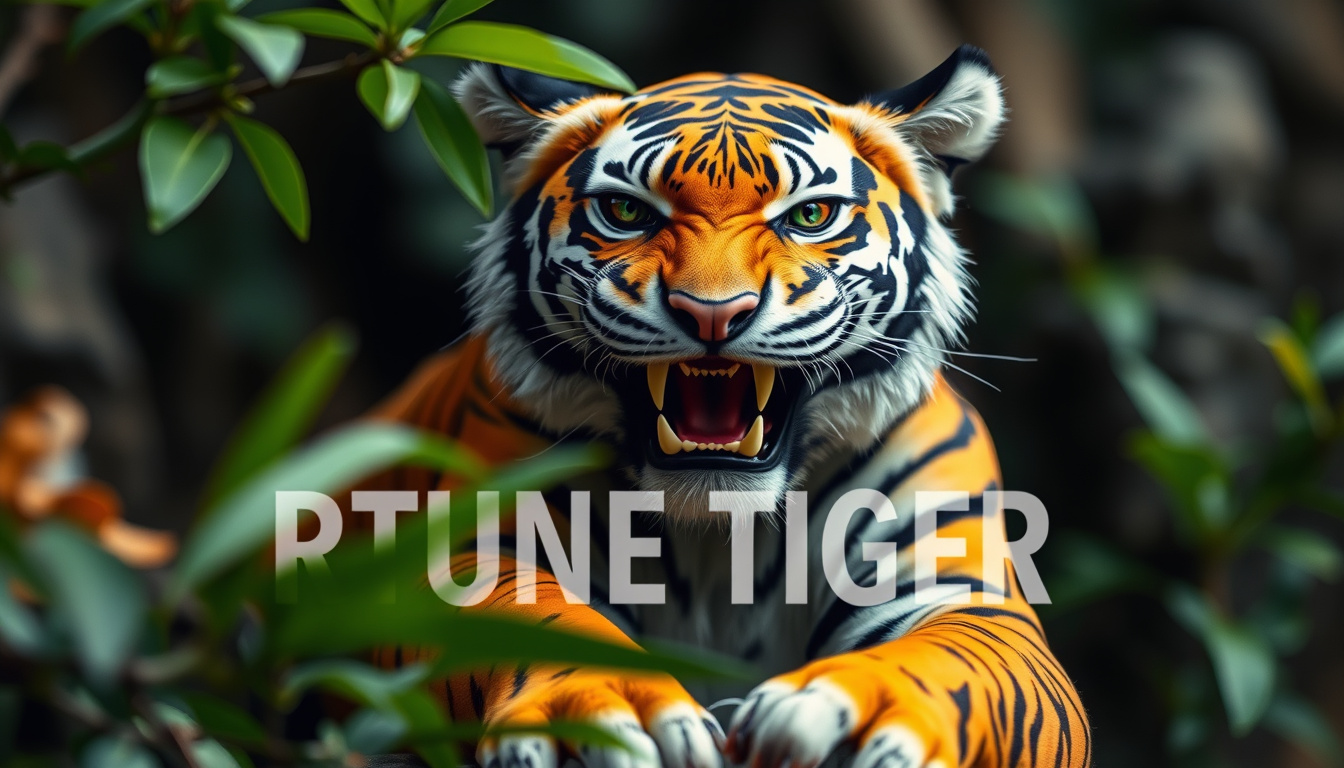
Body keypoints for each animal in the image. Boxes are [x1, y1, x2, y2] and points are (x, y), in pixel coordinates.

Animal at [360, 45, 1091, 768]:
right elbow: (544, 622)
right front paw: (614, 711)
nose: (713, 313)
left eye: (810, 217)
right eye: (625, 213)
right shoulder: (484, 555)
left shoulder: (962, 594)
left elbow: (943, 661)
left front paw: (843, 713)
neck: (717, 539)